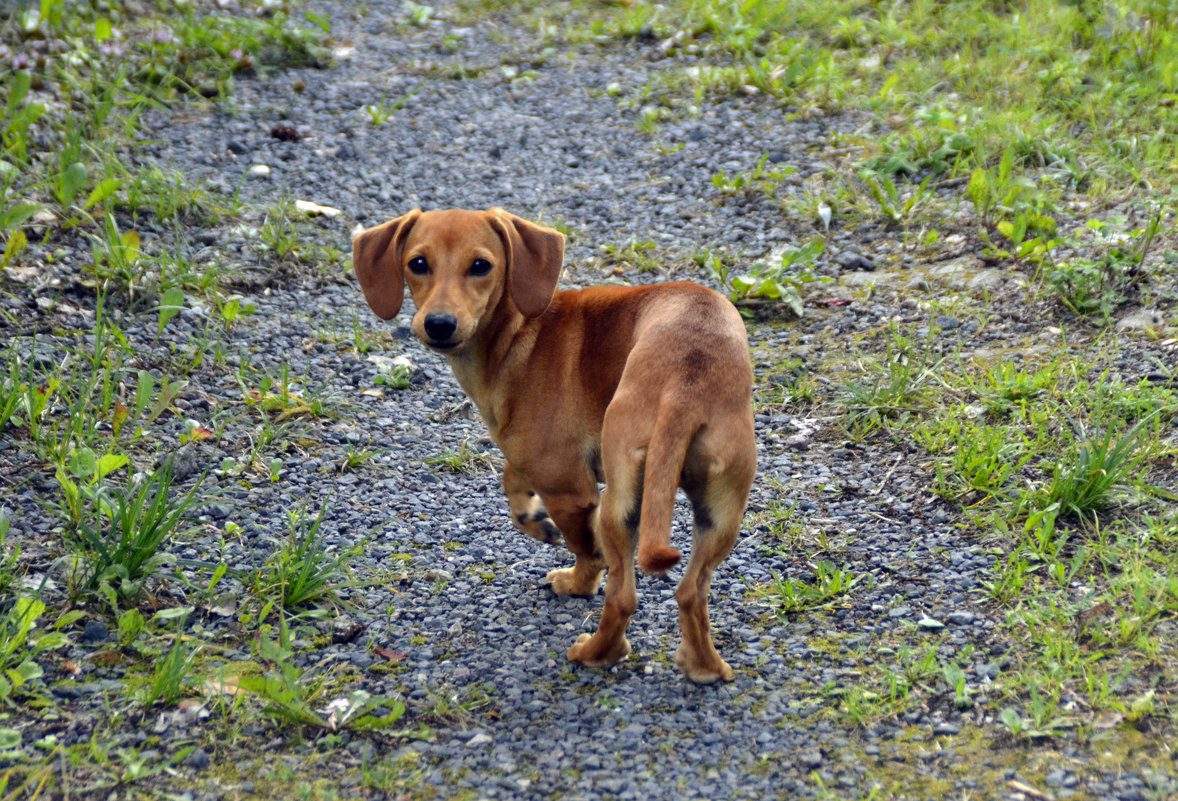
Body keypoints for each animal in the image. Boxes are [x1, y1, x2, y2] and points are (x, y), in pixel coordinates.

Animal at [353, 208, 753, 683]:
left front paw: (574, 580)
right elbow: (512, 476)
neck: (520, 333)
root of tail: (685, 380)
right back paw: (704, 666)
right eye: (418, 263)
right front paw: (533, 517)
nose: (439, 325)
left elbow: (585, 551)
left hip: (621, 507)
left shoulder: (571, 490)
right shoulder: (539, 462)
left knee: (622, 596)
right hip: (719, 515)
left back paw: (596, 653)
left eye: (481, 265)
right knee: (691, 593)